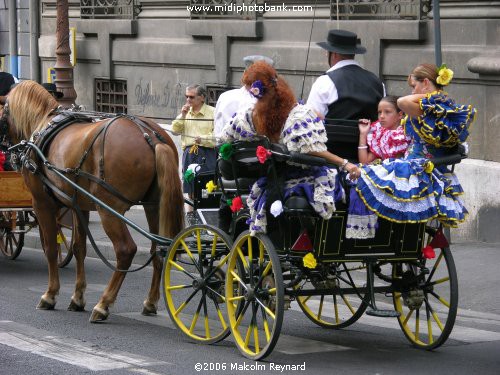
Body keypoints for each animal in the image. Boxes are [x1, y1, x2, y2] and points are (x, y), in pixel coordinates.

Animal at [3, 81, 184, 324]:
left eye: (2, 113)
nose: (8, 153)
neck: (43, 123)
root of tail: (150, 136)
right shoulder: (78, 206)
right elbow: (79, 247)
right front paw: (77, 298)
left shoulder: (42, 204)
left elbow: (50, 248)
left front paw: (50, 295)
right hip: (153, 205)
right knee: (159, 250)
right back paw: (150, 303)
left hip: (110, 209)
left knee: (126, 250)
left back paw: (103, 304)